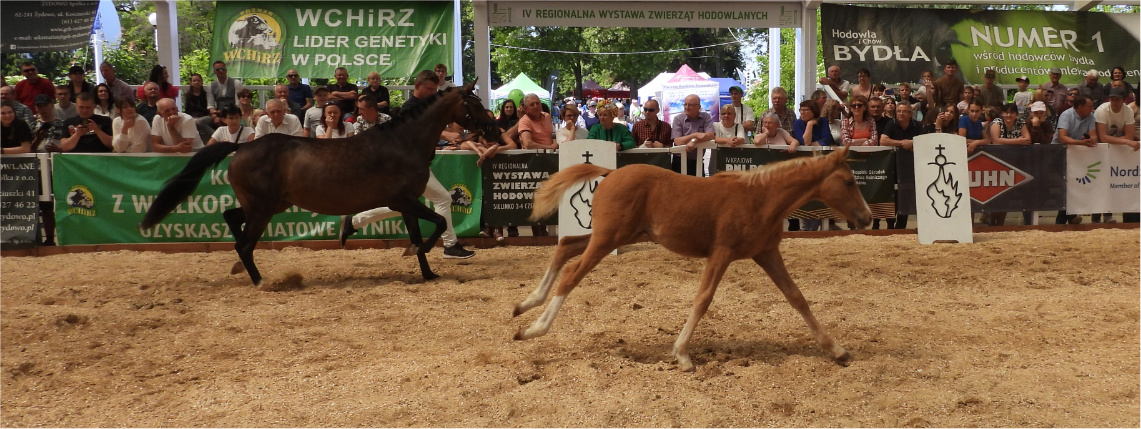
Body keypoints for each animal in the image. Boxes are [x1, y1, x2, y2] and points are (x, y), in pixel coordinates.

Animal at [140, 82, 497, 286]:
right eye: (475, 103)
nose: (493, 131)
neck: (403, 142)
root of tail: (241, 146)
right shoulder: (404, 201)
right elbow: (437, 224)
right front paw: (421, 254)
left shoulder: (407, 204)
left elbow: (420, 232)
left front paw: (427, 273)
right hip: (264, 209)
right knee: (244, 244)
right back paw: (260, 281)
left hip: (270, 205)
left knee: (231, 218)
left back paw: (242, 269)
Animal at [513, 146, 867, 369]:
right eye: (849, 181)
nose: (865, 217)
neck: (760, 198)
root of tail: (610, 173)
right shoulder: (721, 253)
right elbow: (703, 299)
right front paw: (682, 354)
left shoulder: (766, 253)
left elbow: (797, 297)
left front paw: (837, 350)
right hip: (607, 239)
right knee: (572, 271)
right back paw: (532, 329)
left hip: (615, 236)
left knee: (565, 245)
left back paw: (525, 304)